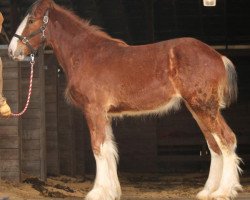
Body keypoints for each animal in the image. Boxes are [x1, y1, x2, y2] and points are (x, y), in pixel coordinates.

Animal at [8, 0, 241, 199]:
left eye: (31, 20)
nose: (11, 51)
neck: (87, 55)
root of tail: (218, 56)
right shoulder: (104, 114)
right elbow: (109, 148)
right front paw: (111, 191)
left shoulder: (94, 110)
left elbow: (98, 147)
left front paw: (97, 192)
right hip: (198, 109)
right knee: (214, 144)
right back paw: (208, 191)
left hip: (204, 107)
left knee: (226, 139)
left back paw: (223, 191)